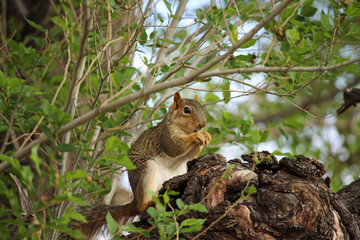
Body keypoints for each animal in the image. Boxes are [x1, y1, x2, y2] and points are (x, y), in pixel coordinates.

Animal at [58, 92, 211, 240]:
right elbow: (174, 147)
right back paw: (148, 202)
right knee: (141, 206)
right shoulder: (165, 134)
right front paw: (196, 136)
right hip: (147, 169)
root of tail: (135, 198)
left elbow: (191, 156)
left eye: (204, 109)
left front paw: (206, 136)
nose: (203, 124)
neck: (183, 129)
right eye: (187, 110)